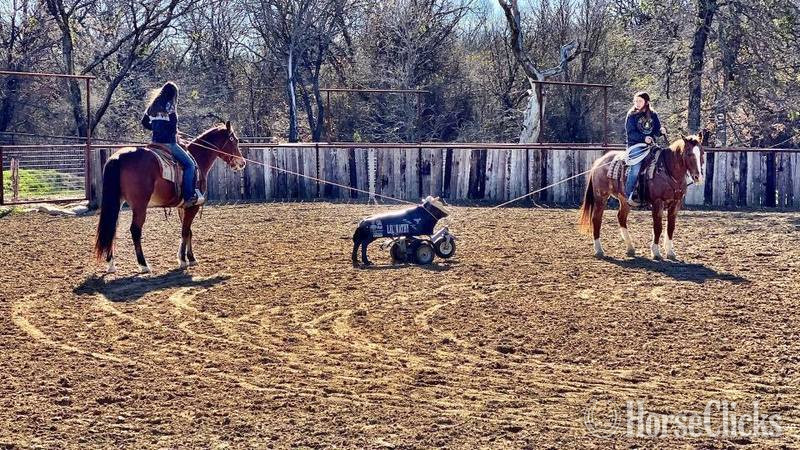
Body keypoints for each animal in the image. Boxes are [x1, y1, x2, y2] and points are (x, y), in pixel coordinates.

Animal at [94, 121, 246, 273]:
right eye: (234, 140)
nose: (242, 162)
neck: (197, 159)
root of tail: (118, 157)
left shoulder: (183, 206)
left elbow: (188, 231)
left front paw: (190, 258)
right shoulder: (193, 206)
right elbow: (185, 231)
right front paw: (183, 260)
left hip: (118, 203)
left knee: (112, 229)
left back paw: (111, 264)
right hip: (140, 205)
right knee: (135, 230)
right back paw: (143, 265)